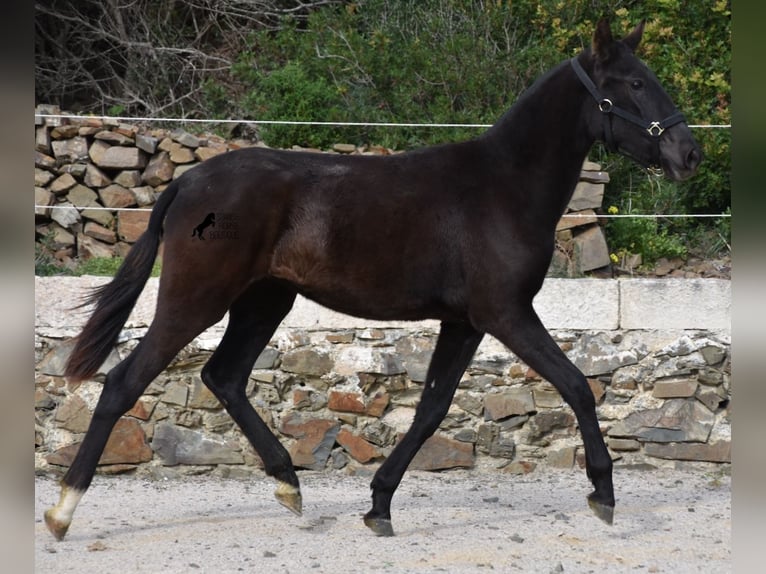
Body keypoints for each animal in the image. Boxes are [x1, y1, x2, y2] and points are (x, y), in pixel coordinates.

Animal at [43, 16, 704, 540]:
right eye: (634, 83)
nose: (689, 155)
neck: (503, 188)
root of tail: (184, 182)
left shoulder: (464, 322)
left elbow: (432, 407)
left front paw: (379, 505)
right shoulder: (507, 314)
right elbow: (576, 386)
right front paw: (603, 496)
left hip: (265, 300)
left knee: (223, 376)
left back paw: (289, 486)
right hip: (198, 298)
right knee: (124, 382)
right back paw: (62, 512)